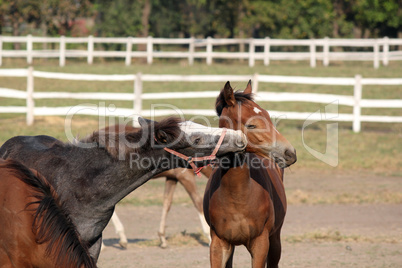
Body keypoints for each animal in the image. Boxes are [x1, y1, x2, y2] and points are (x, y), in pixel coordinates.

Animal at [204, 81, 296, 268]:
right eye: (251, 125)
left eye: (268, 116)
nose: (290, 153)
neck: (237, 195)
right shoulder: (218, 244)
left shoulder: (260, 244)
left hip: (275, 240)